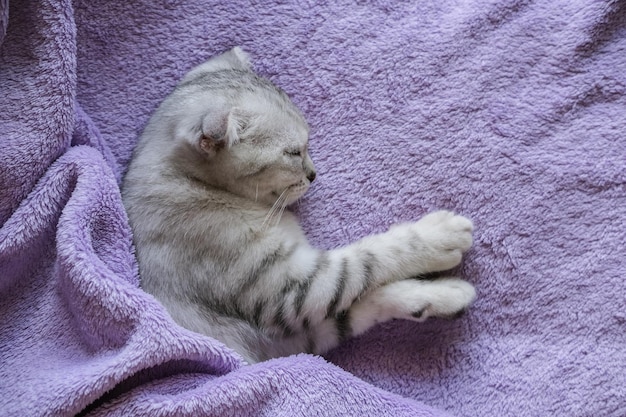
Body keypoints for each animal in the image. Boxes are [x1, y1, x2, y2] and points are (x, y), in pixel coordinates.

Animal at [120, 47, 472, 362]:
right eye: (293, 153)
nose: (314, 174)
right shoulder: (289, 293)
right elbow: (364, 262)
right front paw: (440, 237)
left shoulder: (298, 338)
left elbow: (357, 306)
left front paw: (439, 294)